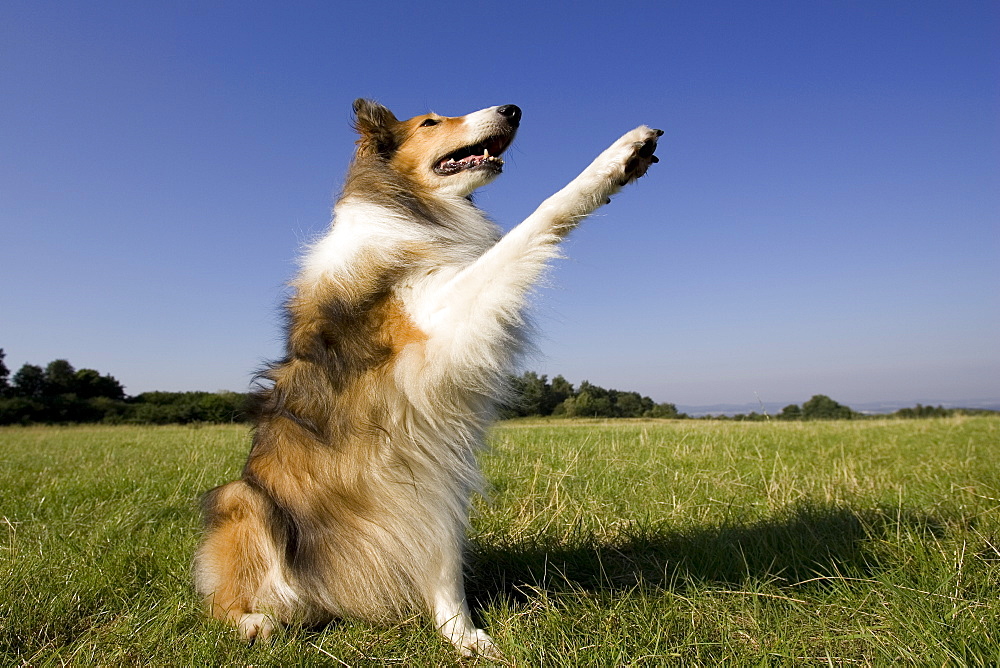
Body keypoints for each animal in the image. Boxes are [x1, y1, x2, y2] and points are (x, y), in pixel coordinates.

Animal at [193, 100, 664, 656]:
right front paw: (618, 155)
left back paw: (458, 634)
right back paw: (255, 622)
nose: (512, 108)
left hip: (428, 494)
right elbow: (531, 224)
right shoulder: (436, 326)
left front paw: (465, 639)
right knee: (223, 602)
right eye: (430, 123)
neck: (408, 207)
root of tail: (329, 600)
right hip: (242, 500)